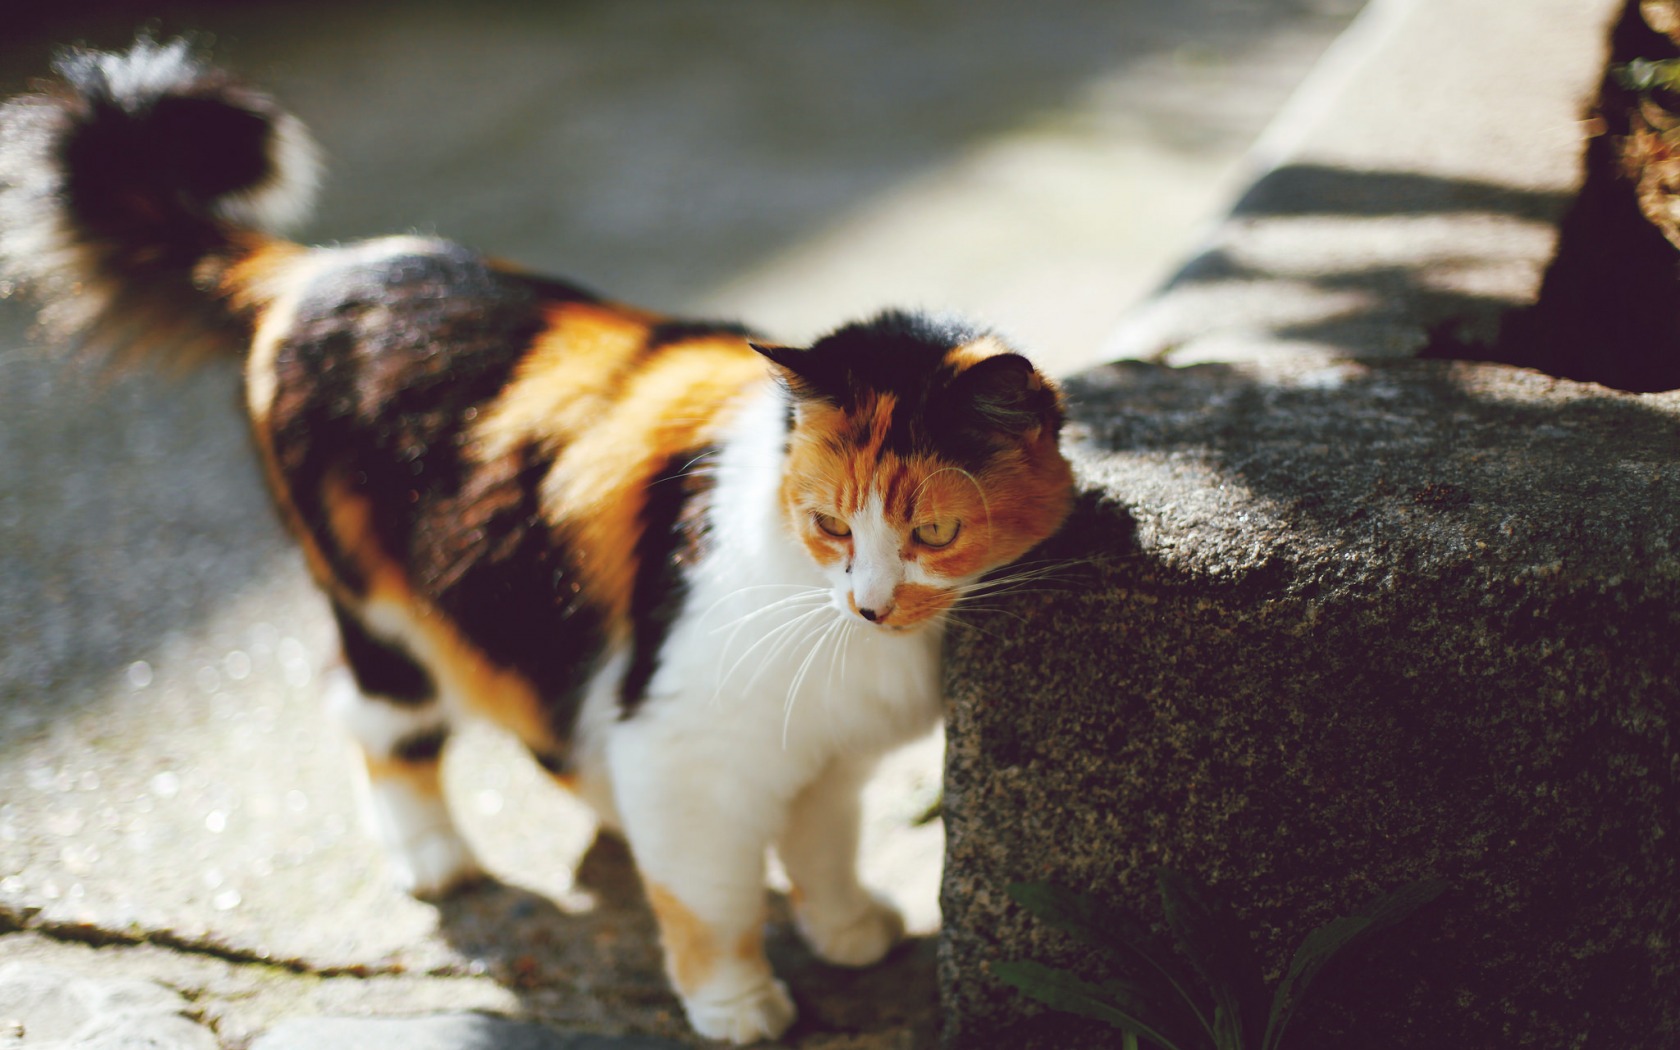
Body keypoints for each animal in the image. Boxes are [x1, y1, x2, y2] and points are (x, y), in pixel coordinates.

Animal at [0, 38, 1068, 1041]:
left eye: (933, 530)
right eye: (830, 524)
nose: (870, 602)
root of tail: (320, 266)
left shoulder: (825, 752)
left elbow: (822, 845)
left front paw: (846, 929)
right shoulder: (690, 743)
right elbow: (710, 902)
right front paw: (736, 1006)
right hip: (385, 610)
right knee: (378, 721)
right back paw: (437, 860)